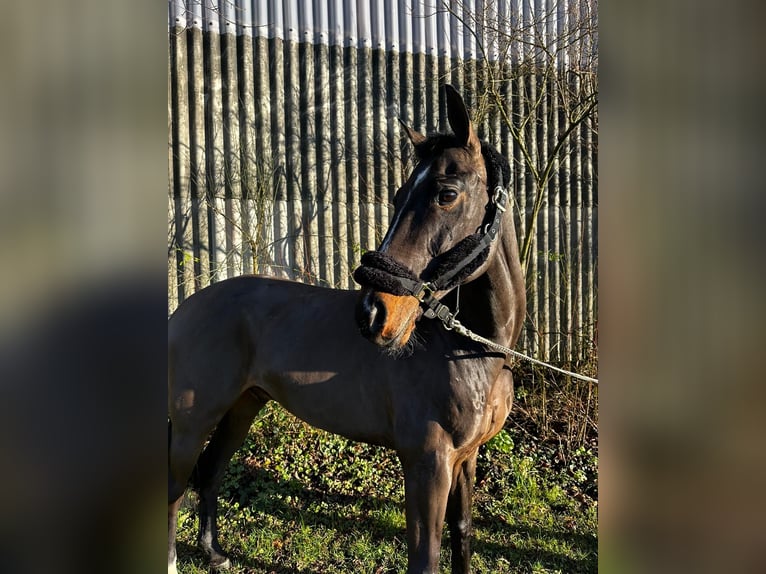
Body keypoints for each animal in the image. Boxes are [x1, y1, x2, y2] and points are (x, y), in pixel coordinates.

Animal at [168, 85, 528, 574]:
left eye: (447, 193)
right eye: (398, 197)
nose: (373, 314)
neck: (470, 351)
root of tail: (184, 309)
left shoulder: (465, 459)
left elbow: (463, 534)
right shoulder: (426, 464)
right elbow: (425, 557)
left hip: (242, 407)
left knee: (211, 472)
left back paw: (214, 553)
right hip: (193, 420)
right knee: (174, 489)